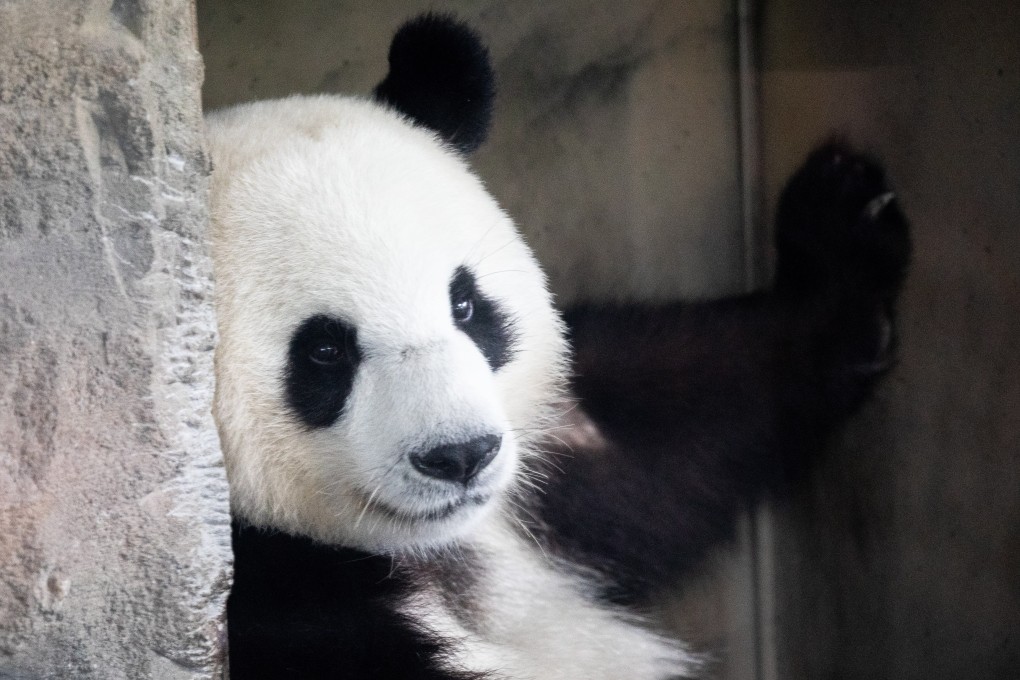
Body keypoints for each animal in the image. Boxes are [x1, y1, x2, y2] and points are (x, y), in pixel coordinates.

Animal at [204, 14, 910, 680]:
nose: (461, 456)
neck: (420, 549)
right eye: (324, 351)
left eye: (466, 305)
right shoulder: (265, 603)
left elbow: (679, 424)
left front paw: (844, 233)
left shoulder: (545, 482)